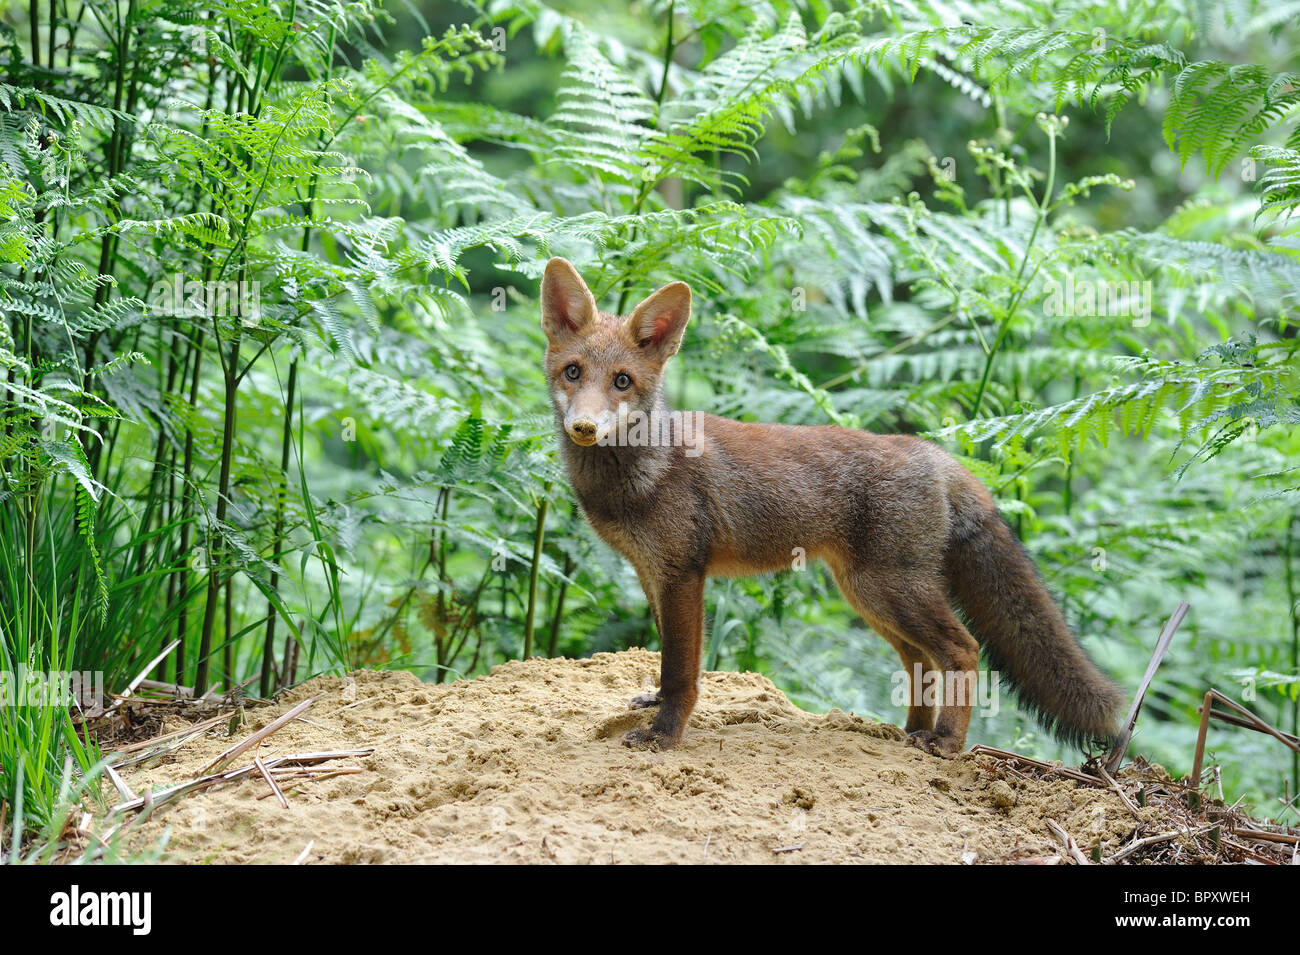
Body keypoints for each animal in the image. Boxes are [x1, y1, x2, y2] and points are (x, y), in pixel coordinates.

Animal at [540, 256, 1125, 757]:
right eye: (573, 373)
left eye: (622, 381)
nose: (584, 426)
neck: (640, 476)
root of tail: (932, 452)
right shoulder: (652, 574)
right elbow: (665, 661)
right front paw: (656, 707)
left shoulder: (684, 574)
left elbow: (682, 671)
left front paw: (665, 734)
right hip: (869, 594)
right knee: (920, 661)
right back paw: (909, 732)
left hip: (889, 589)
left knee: (961, 649)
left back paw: (945, 742)